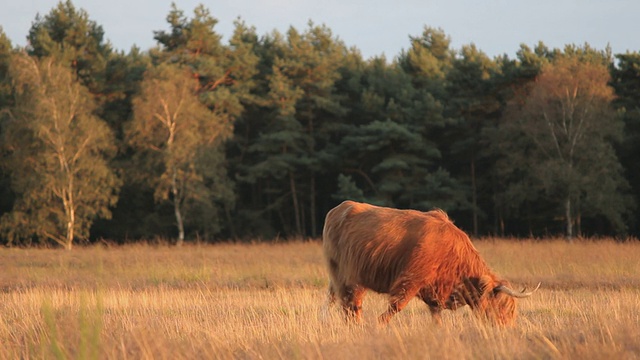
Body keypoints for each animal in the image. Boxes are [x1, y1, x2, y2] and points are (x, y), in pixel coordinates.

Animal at [322, 201, 536, 324]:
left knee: (342, 302)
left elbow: (436, 314)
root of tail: (336, 209)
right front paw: (379, 324)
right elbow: (396, 306)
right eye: (503, 307)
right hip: (346, 274)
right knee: (350, 304)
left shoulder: (435, 290)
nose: (505, 330)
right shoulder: (411, 278)